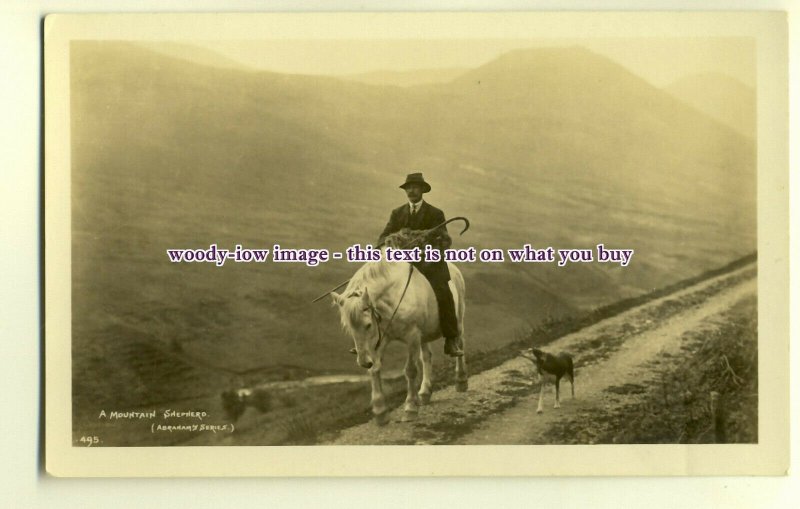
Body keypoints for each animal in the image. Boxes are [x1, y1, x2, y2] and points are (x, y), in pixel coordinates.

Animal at [332, 251, 468, 424]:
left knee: (460, 345)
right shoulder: (381, 339)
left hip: (458, 320)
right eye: (349, 328)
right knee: (427, 357)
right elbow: (375, 369)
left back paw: (461, 381)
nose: (363, 362)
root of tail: (454, 268)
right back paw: (425, 392)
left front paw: (410, 408)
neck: (394, 297)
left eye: (368, 325)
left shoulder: (412, 336)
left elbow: (410, 370)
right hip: (424, 335)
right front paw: (380, 411)